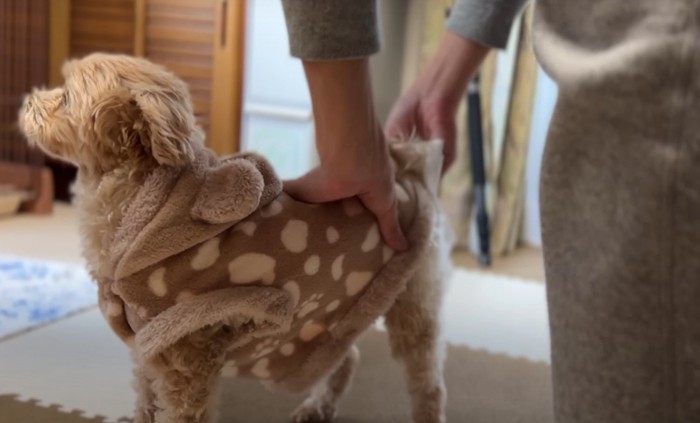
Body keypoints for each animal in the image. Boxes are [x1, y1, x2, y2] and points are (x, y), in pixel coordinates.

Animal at [20, 53, 454, 423]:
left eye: (65, 97)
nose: (27, 101)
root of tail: (407, 172)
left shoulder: (187, 353)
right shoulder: (148, 347)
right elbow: (145, 401)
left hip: (411, 298)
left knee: (427, 381)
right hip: (321, 322)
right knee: (344, 357)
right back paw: (316, 407)